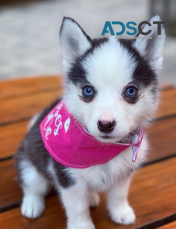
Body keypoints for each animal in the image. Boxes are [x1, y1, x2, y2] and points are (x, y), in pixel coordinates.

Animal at [14, 15, 165, 229]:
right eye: (88, 90)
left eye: (131, 91)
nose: (106, 124)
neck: (101, 150)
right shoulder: (68, 177)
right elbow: (77, 207)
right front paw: (81, 225)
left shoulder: (124, 172)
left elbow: (119, 195)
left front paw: (121, 212)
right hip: (31, 166)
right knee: (31, 185)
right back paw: (32, 204)